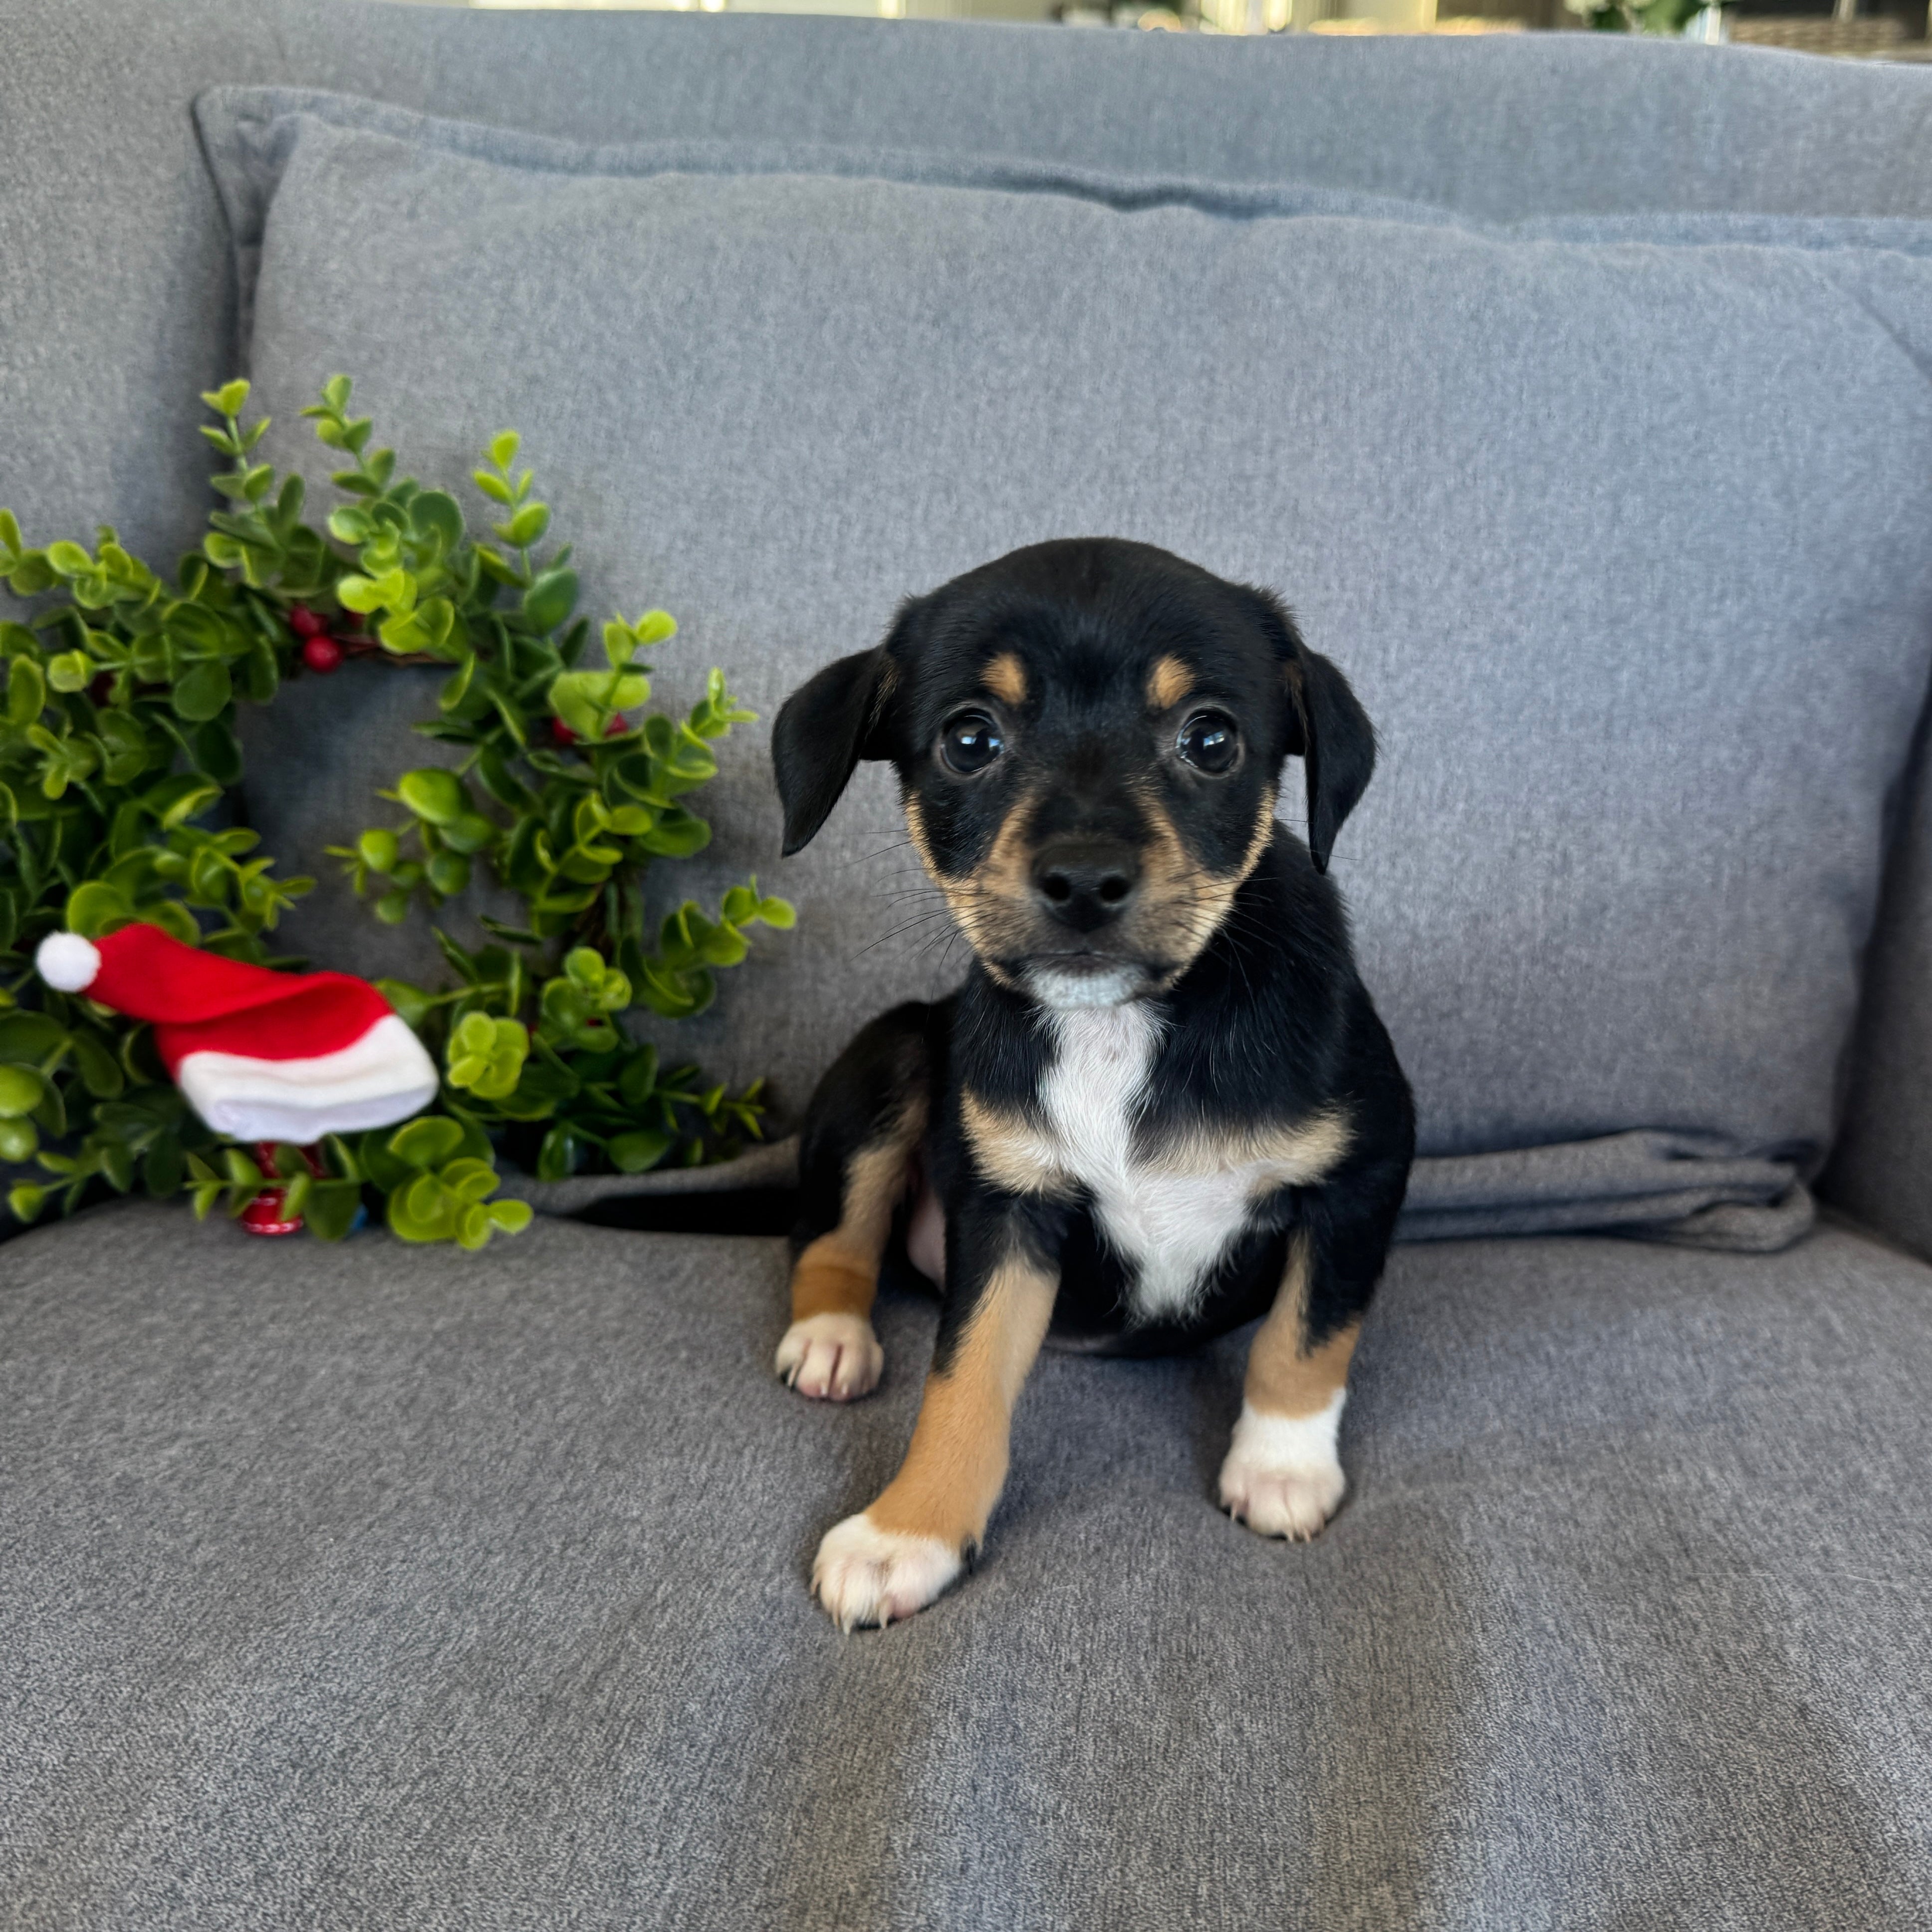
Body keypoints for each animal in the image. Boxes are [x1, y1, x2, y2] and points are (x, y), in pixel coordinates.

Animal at [770, 537, 1414, 1630]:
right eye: (970, 739)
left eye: (1210, 738)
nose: (1082, 879)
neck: (1120, 1024)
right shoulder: (1007, 1206)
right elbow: (962, 1378)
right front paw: (908, 1532)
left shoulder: (1362, 1172)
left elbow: (1308, 1334)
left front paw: (1281, 1467)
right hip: (893, 1051)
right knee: (832, 1235)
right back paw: (829, 1337)